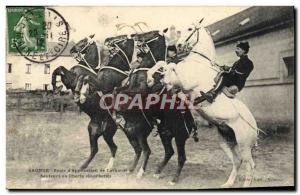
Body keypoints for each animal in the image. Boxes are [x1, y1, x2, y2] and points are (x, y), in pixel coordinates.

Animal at [148, 20, 258, 187]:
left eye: (190, 29)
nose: (179, 45)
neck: (199, 62)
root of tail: (255, 126)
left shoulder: (185, 82)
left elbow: (170, 67)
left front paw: (161, 79)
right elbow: (163, 63)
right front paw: (150, 77)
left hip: (244, 144)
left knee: (249, 165)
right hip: (226, 141)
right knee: (237, 161)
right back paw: (228, 183)